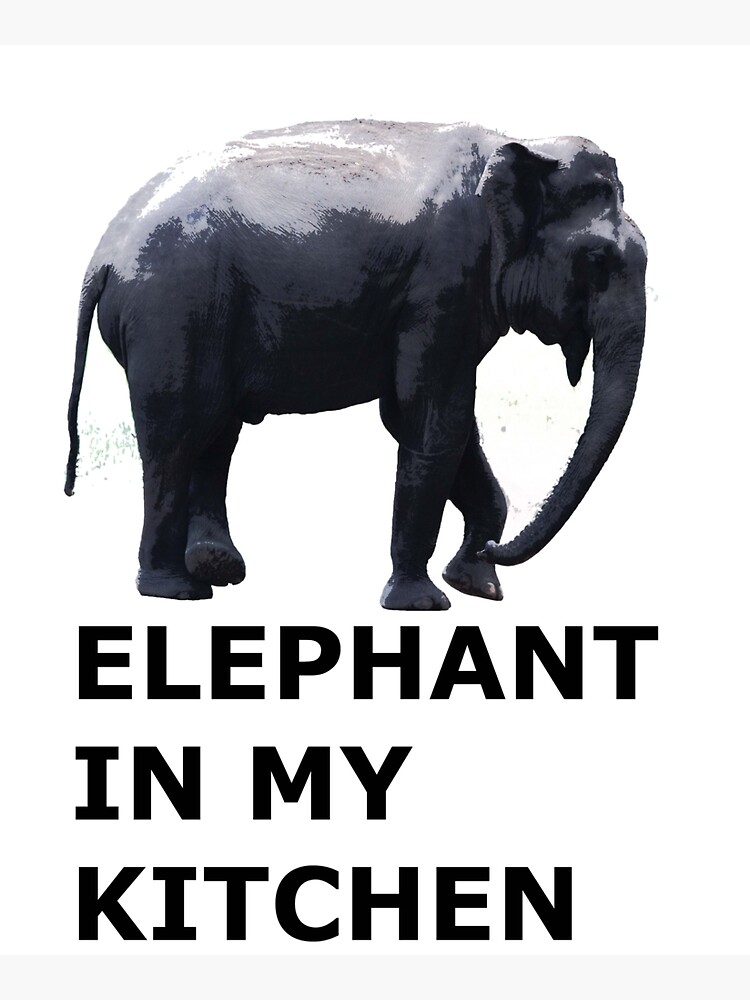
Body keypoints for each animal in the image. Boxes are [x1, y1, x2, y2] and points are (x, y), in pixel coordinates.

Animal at [65, 120, 647, 610]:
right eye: (598, 261)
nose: (490, 552)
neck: (519, 145)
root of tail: (102, 259)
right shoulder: (443, 283)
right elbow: (431, 417)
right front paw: (423, 603)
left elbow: (436, 421)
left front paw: (476, 586)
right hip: (173, 313)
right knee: (178, 436)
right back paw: (176, 591)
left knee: (216, 432)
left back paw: (217, 570)